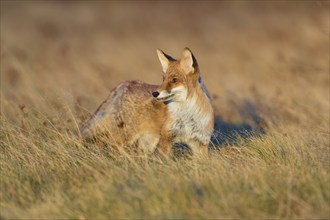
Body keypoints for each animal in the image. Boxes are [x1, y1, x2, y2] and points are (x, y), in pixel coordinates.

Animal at [79, 47, 214, 156]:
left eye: (174, 80)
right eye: (163, 79)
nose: (154, 93)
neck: (188, 116)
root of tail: (124, 84)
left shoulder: (201, 142)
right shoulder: (166, 138)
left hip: (147, 142)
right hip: (124, 137)